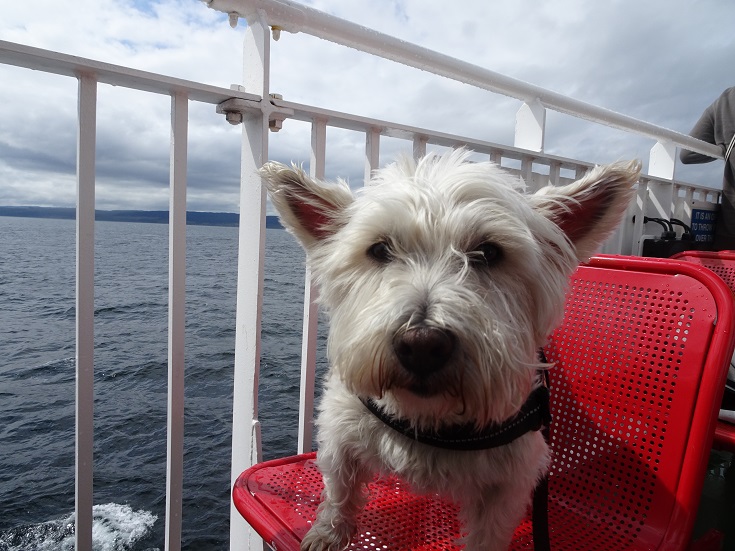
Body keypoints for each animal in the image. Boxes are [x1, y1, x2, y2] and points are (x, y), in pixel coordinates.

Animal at [262, 149, 640, 548]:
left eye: (489, 252)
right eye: (379, 249)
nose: (422, 345)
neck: (429, 419)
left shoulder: (510, 479)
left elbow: (488, 535)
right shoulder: (339, 429)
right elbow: (340, 486)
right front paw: (328, 534)